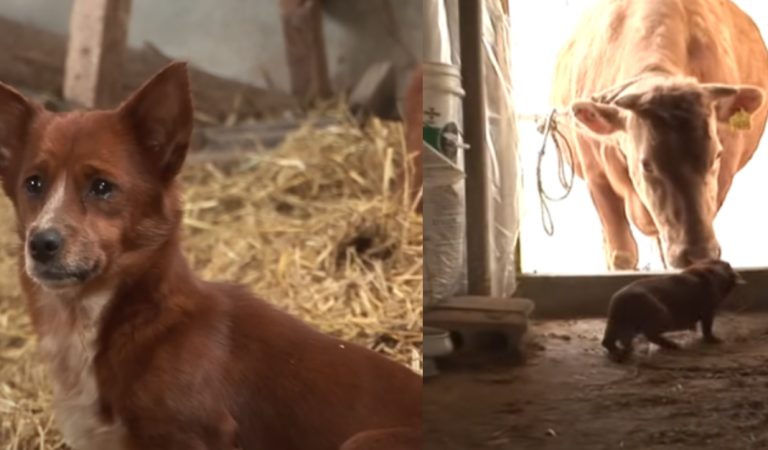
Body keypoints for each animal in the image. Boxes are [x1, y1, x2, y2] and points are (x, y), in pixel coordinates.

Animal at [551, 0, 768, 270]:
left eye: (716, 156)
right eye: (646, 164)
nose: (698, 252)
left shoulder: (723, 176)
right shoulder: (596, 176)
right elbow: (621, 254)